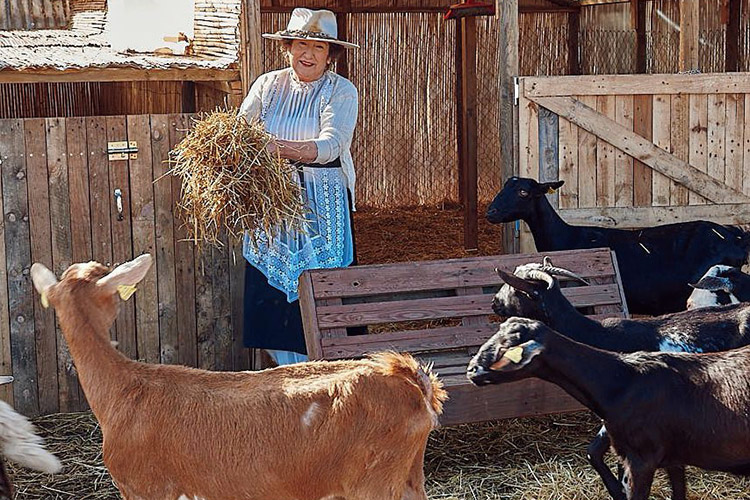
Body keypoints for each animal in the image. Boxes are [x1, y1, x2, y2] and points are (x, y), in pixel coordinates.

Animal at [490, 260, 750, 500]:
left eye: (515, 288)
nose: (494, 302)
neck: (594, 334)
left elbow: (601, 454)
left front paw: (619, 489)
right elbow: (594, 452)